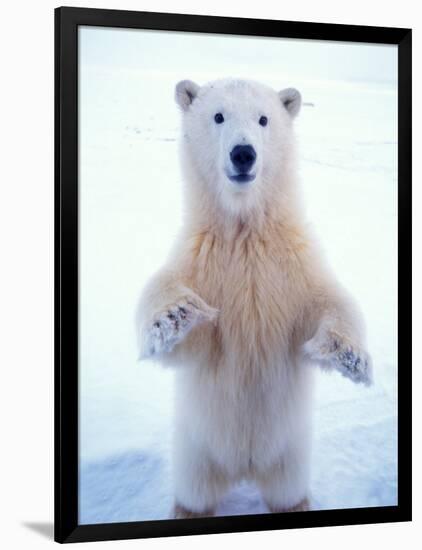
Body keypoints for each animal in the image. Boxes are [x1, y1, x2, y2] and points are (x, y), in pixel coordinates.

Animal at [136, 78, 372, 520]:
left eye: (264, 119)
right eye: (218, 115)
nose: (243, 153)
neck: (244, 231)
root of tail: (244, 468)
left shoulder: (292, 263)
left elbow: (329, 300)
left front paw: (349, 355)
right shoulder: (201, 259)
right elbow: (174, 314)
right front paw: (175, 313)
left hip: (291, 452)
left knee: (286, 489)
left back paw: (296, 505)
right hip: (195, 449)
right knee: (195, 490)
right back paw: (187, 510)